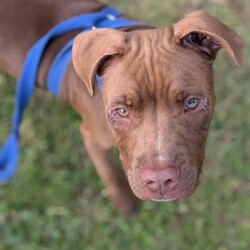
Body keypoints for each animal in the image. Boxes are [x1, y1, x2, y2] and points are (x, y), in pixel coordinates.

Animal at [0, 0, 243, 215]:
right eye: (122, 111)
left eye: (191, 103)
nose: (160, 179)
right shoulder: (92, 137)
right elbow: (111, 174)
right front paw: (125, 204)